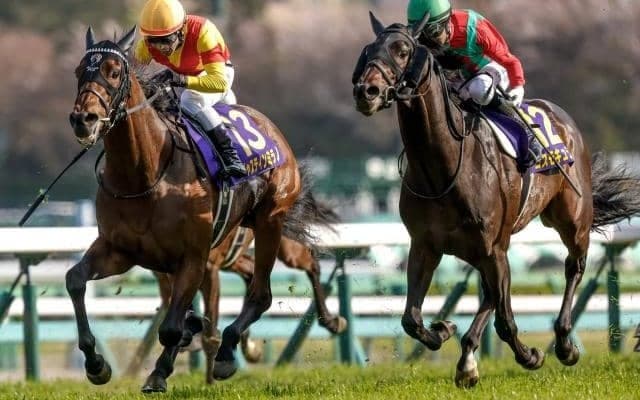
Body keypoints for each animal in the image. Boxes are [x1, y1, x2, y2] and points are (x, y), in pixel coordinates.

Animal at [154, 225, 346, 384]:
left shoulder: (209, 268)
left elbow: (209, 335)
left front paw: (210, 383)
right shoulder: (171, 269)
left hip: (284, 244)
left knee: (311, 264)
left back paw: (332, 321)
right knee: (251, 272)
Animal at [352, 12, 640, 387]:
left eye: (402, 50)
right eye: (368, 49)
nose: (366, 92)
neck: (443, 169)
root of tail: (560, 116)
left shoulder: (493, 248)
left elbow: (505, 322)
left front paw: (530, 356)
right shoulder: (425, 246)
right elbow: (411, 319)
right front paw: (444, 330)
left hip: (570, 220)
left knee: (573, 267)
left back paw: (564, 343)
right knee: (491, 293)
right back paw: (467, 357)